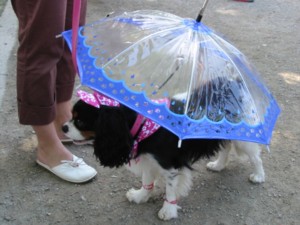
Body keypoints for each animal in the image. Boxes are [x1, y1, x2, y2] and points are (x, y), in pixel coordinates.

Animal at [62, 91, 264, 220]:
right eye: (71, 116)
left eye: (80, 121)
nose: (63, 127)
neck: (143, 123)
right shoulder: (148, 159)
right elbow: (147, 181)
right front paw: (140, 196)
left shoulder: (170, 164)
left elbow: (170, 188)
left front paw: (168, 210)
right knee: (226, 147)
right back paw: (218, 165)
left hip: (242, 137)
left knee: (255, 157)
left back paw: (258, 176)